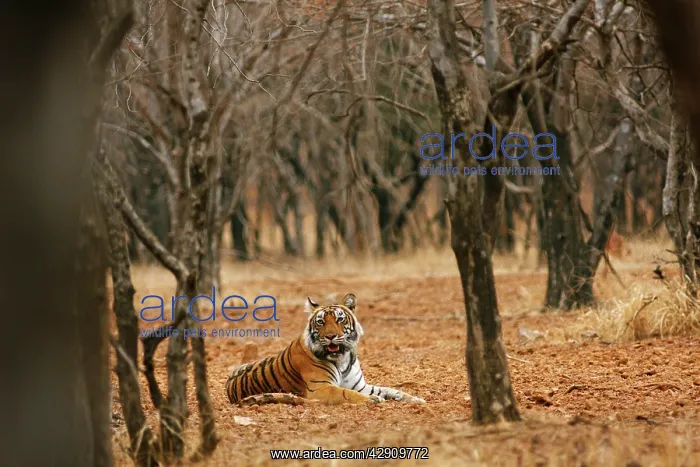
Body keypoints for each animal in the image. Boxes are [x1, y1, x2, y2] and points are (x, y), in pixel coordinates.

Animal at [225, 293, 425, 405]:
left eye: (340, 319)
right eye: (321, 322)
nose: (330, 336)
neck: (342, 358)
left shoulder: (360, 386)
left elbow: (391, 390)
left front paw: (416, 399)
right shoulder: (320, 389)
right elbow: (346, 393)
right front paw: (371, 400)